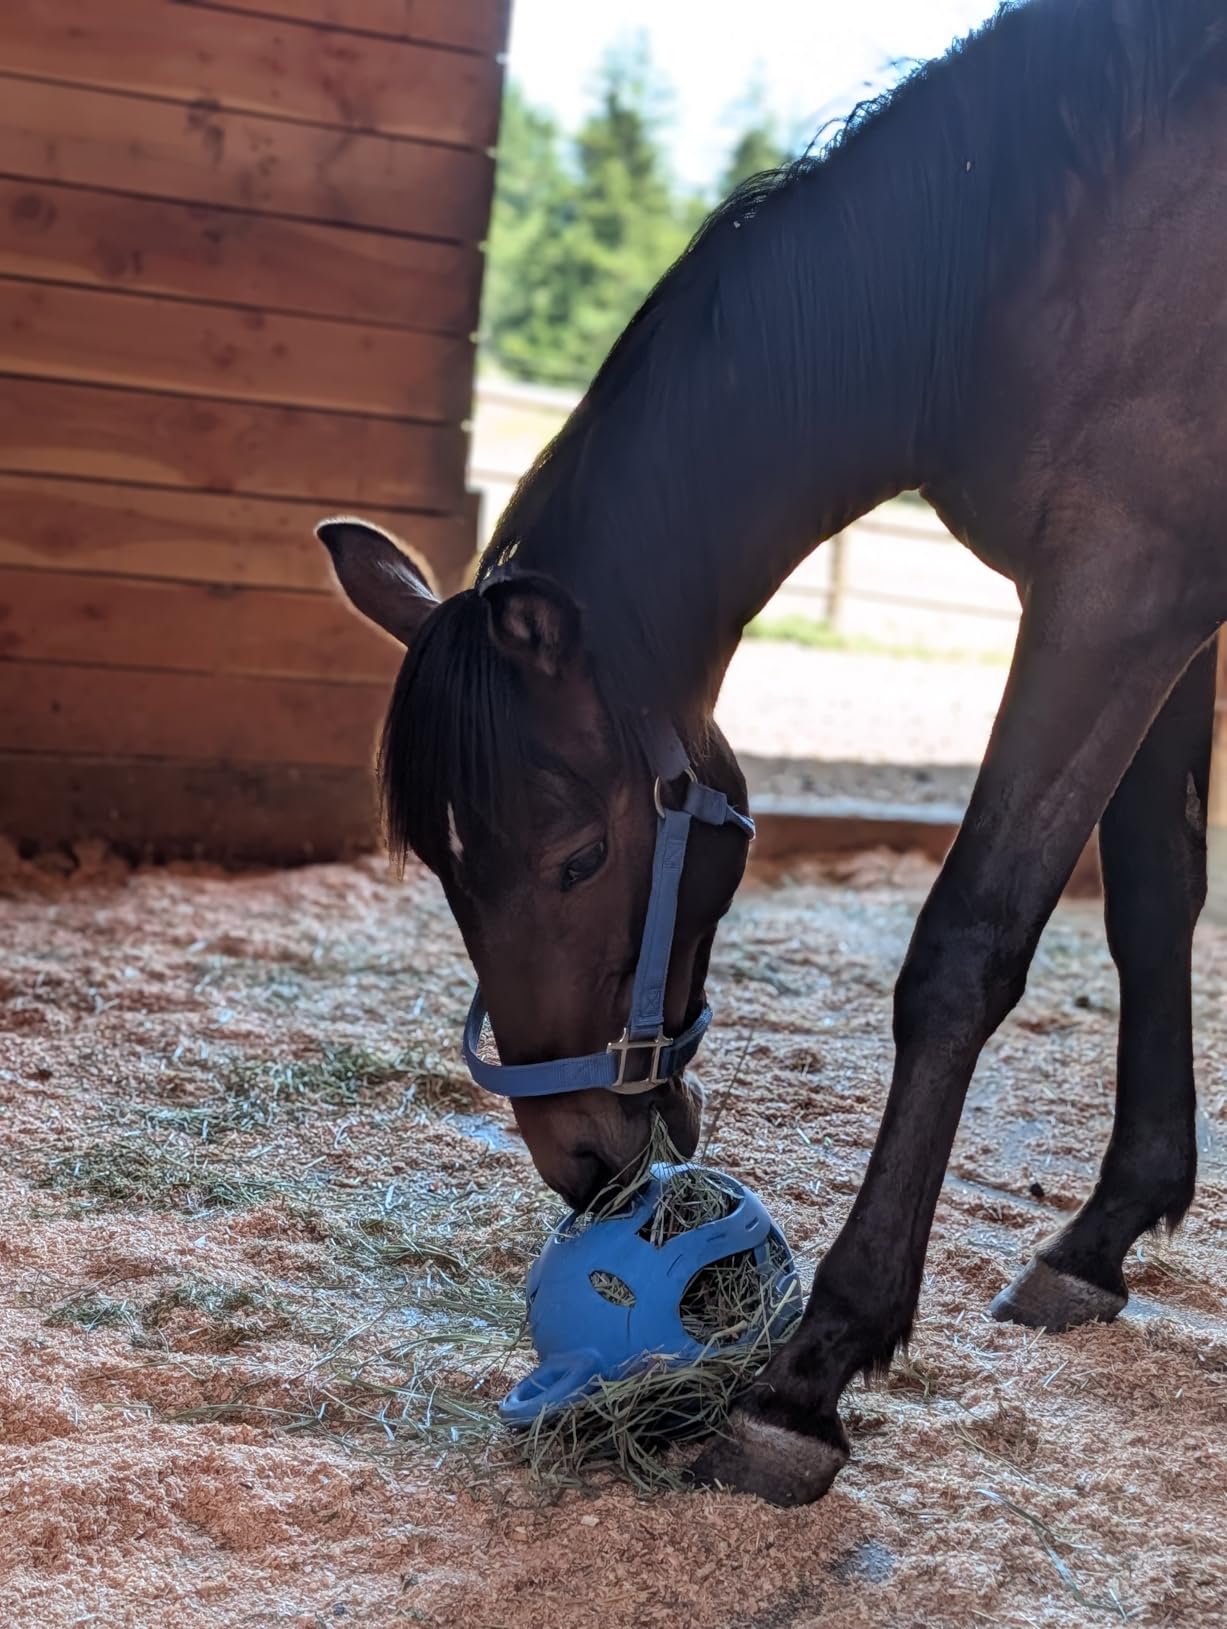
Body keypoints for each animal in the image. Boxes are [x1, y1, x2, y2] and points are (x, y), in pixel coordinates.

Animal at [320, 0, 1227, 1505]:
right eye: (445, 873)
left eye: (578, 858)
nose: (579, 1158)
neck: (1040, 230)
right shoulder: (1171, 614)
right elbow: (1153, 901)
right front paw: (1103, 1235)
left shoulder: (1115, 594)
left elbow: (963, 951)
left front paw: (811, 1374)